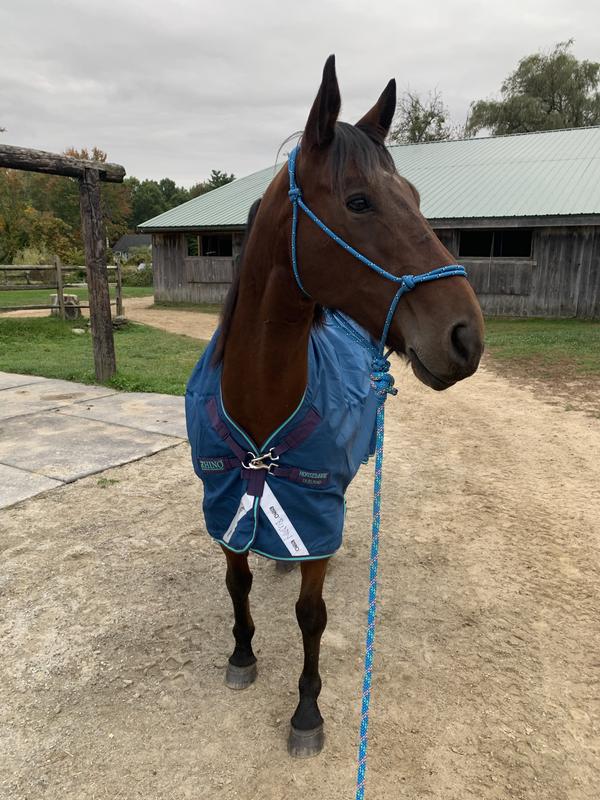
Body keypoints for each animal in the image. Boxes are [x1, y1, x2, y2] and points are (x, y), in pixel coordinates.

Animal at [185, 55, 484, 759]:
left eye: (417, 200)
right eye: (358, 201)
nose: (466, 336)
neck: (261, 399)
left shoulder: (315, 507)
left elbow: (310, 614)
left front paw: (307, 710)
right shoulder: (222, 500)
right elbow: (236, 582)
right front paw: (242, 654)